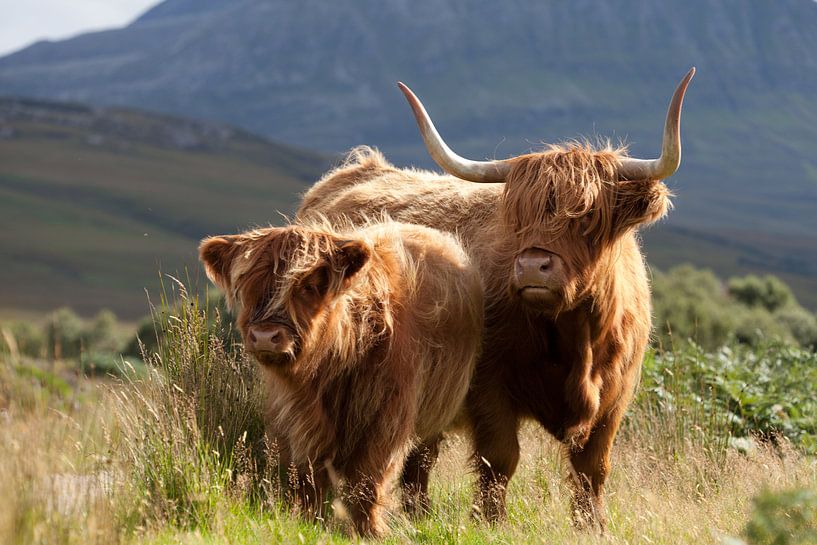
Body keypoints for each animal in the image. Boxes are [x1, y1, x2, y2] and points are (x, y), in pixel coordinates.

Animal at [199, 218, 483, 537]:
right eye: (249, 285)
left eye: (308, 286)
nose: (264, 336)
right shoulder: (298, 416)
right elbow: (308, 475)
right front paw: (308, 520)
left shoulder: (387, 416)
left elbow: (368, 477)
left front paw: (370, 530)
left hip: (434, 415)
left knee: (418, 467)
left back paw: (418, 513)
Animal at [297, 69, 695, 529]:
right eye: (516, 217)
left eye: (587, 218)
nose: (533, 267)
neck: (573, 337)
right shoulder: (490, 388)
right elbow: (501, 458)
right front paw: (491, 521)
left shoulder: (615, 398)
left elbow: (592, 467)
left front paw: (592, 525)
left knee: (419, 451)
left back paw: (418, 514)